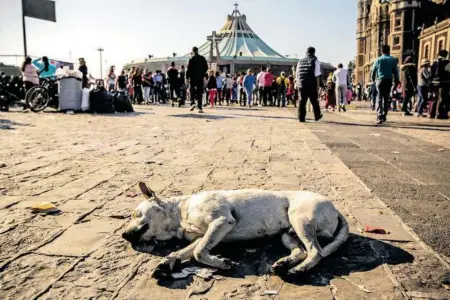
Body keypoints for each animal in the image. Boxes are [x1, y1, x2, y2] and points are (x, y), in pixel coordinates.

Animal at [122, 182, 348, 278]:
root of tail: (336, 209)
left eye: (134, 214)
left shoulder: (221, 221)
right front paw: (168, 262)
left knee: (316, 251)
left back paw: (300, 269)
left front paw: (222, 263)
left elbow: (198, 252)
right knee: (301, 250)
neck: (180, 215)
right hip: (288, 233)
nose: (123, 235)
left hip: (301, 220)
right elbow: (187, 251)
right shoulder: (203, 236)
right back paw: (285, 263)